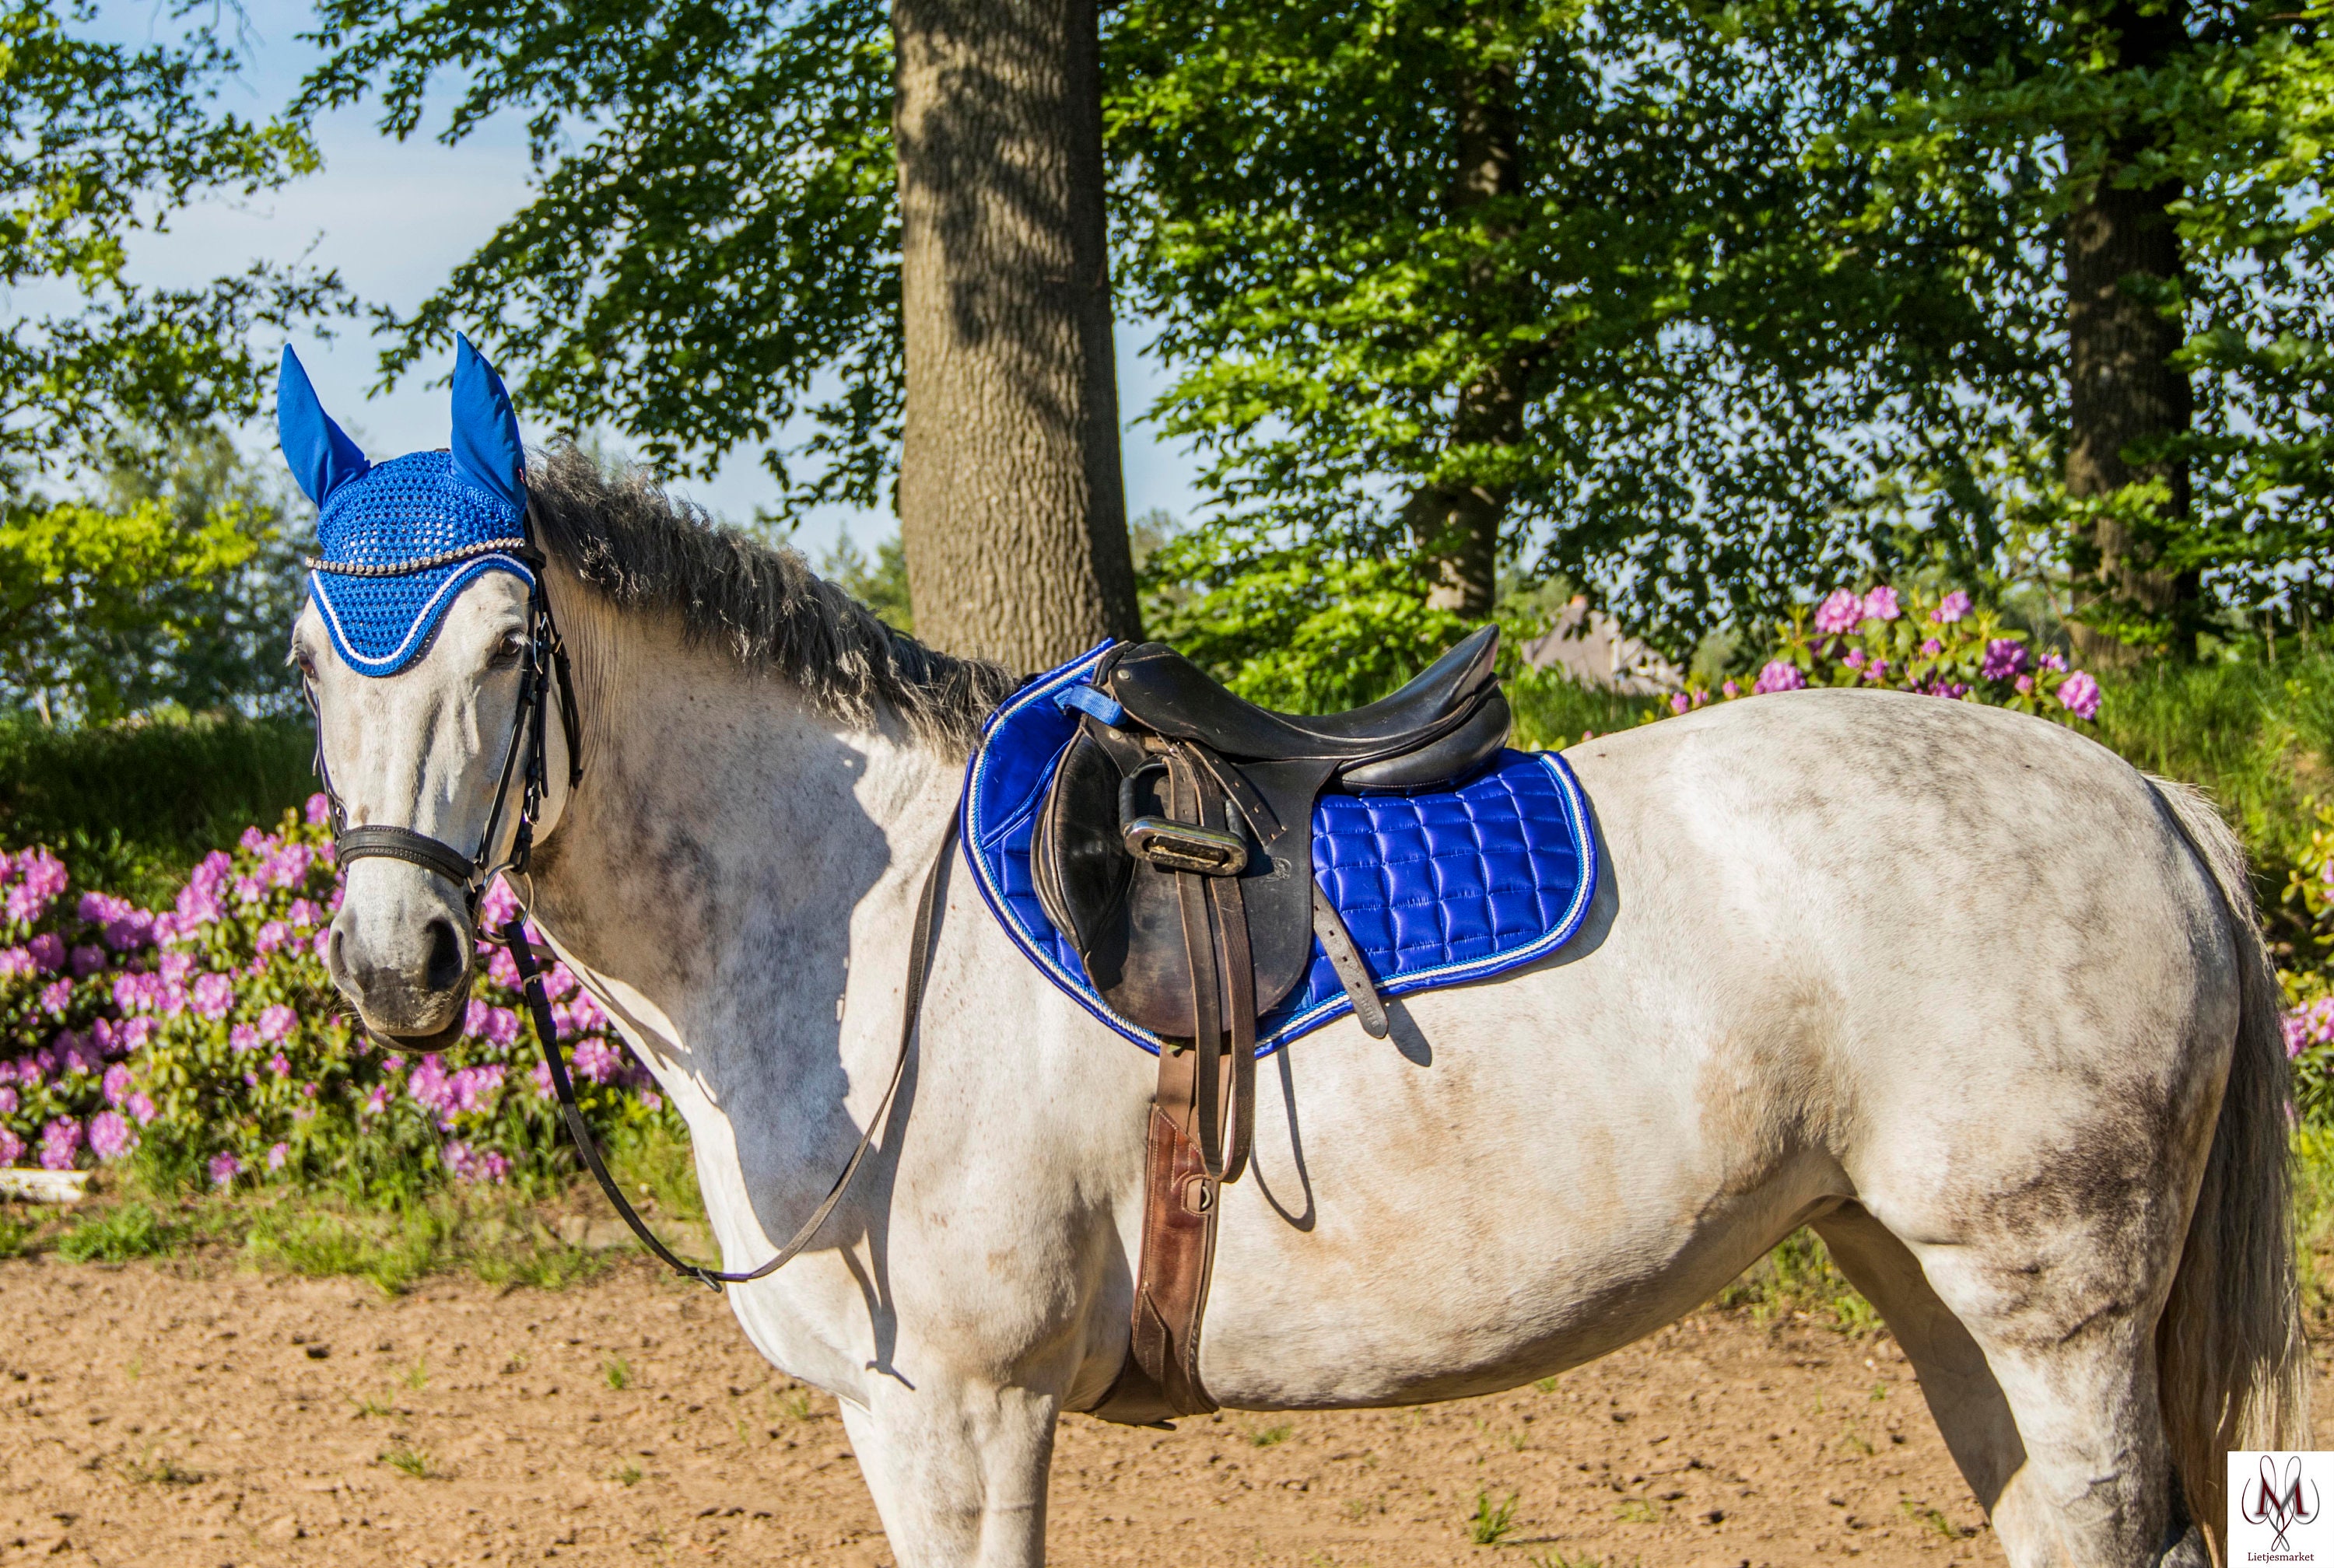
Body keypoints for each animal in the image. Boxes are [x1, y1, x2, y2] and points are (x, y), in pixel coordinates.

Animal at [301, 441, 2306, 1568]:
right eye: (319, 659)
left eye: (511, 649)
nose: (396, 962)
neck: (852, 922)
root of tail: (2151, 799)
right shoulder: (903, 1420)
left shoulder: (971, 1411)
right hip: (1928, 1282)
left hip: (2053, 1304)